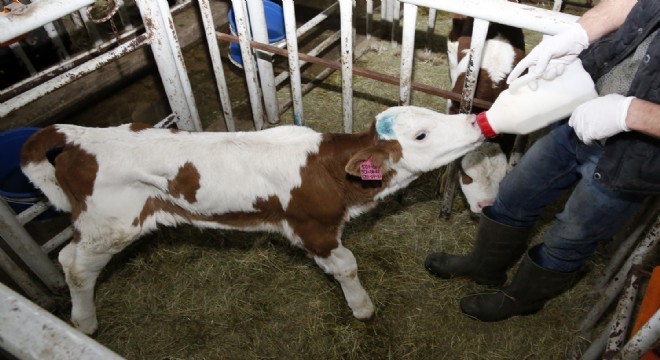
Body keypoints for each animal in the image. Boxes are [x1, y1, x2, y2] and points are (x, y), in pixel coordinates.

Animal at [21, 105, 484, 334]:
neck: (329, 171)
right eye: (421, 135)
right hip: (112, 225)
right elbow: (348, 266)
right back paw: (84, 323)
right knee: (76, 268)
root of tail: (79, 138)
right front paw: (363, 307)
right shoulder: (312, 228)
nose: (472, 119)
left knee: (66, 258)